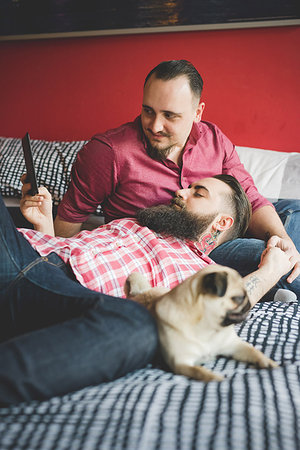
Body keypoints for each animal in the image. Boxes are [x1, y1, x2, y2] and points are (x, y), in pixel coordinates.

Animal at [123, 266, 276, 382]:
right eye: (238, 298)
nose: (248, 303)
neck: (208, 327)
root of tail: (141, 292)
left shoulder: (234, 346)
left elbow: (252, 350)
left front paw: (267, 362)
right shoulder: (181, 363)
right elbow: (199, 371)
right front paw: (215, 378)